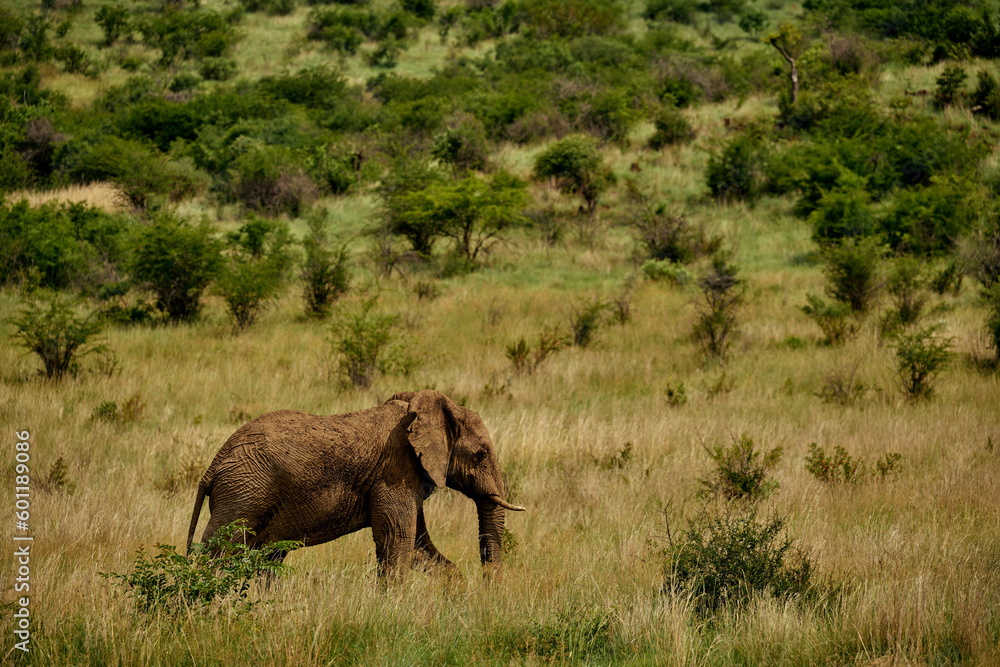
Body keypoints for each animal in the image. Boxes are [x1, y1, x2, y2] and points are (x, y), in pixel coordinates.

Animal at [185, 389, 525, 576]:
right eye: (480, 455)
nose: (488, 589)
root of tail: (213, 465)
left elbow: (419, 544)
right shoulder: (395, 472)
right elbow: (397, 540)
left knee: (266, 556)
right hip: (242, 493)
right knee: (219, 551)